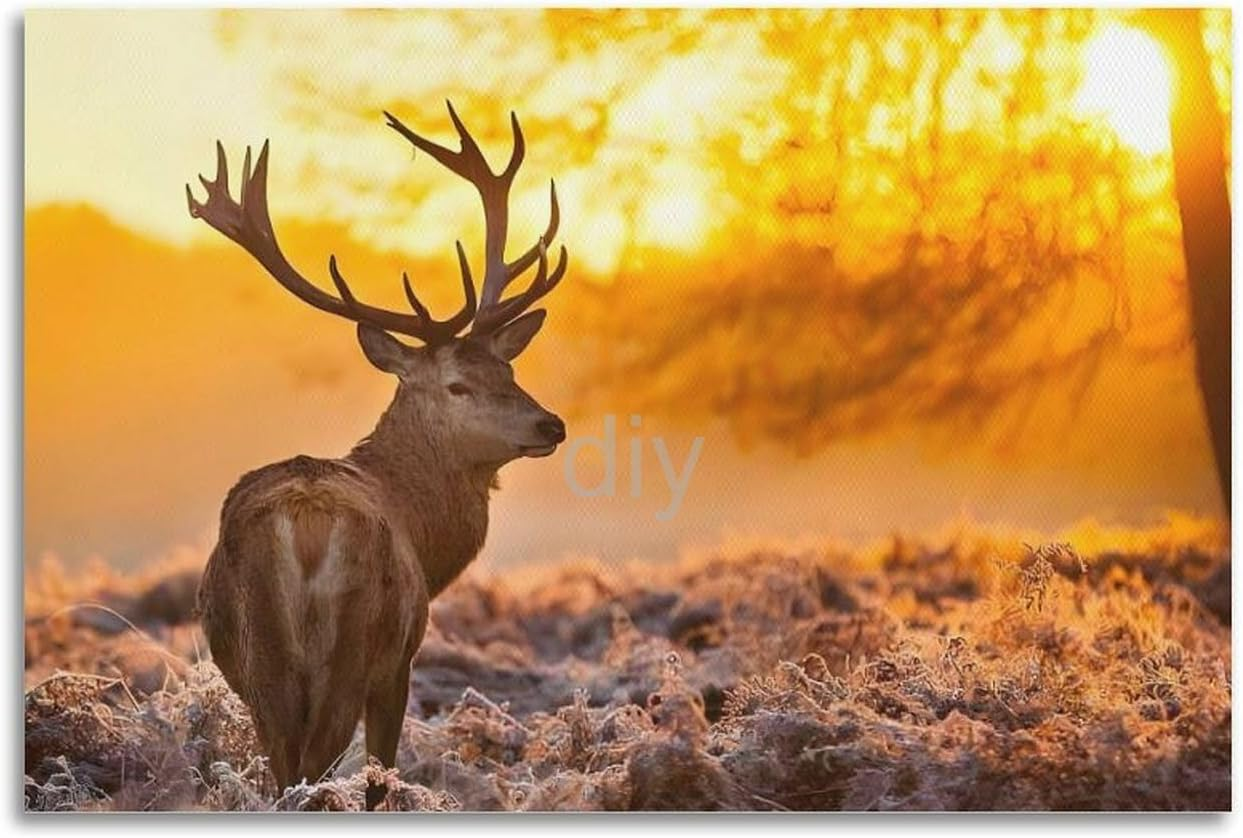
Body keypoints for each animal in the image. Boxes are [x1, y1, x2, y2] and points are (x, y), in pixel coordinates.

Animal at [186, 102, 569, 792]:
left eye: (510, 371)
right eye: (458, 384)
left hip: (263, 663)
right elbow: (380, 773)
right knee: (315, 769)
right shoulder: (400, 661)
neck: (426, 535)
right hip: (356, 644)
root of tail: (305, 524)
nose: (550, 425)